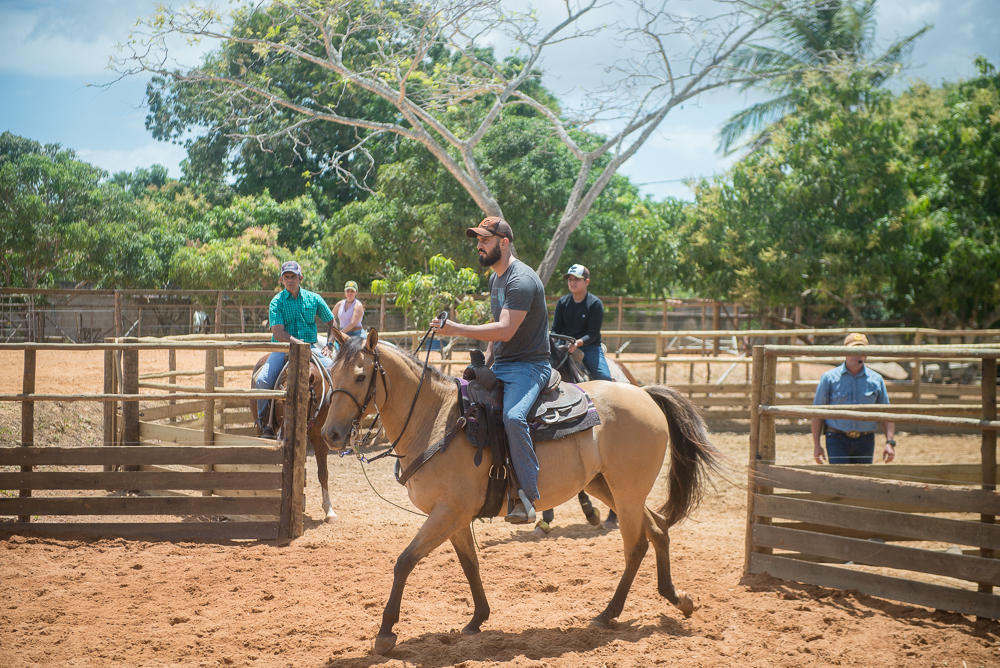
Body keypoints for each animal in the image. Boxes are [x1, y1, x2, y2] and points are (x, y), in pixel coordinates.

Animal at [324, 328, 724, 652]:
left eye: (361, 376)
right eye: (333, 373)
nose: (331, 434)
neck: (435, 421)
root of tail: (645, 394)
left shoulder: (447, 513)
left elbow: (405, 561)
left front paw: (386, 633)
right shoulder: (455, 517)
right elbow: (470, 564)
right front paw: (477, 619)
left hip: (627, 490)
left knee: (637, 545)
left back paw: (608, 613)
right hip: (608, 487)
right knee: (658, 529)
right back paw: (677, 598)